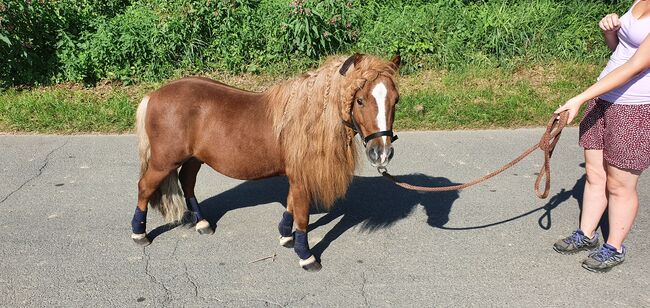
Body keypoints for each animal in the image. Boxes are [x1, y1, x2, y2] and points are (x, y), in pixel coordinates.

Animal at [130, 54, 398, 270]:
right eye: (360, 100)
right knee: (145, 187)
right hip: (164, 162)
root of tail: (153, 95)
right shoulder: (301, 177)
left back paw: (202, 223)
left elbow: (291, 205)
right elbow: (302, 214)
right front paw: (306, 255)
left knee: (187, 183)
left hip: (194, 158)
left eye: (395, 100)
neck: (307, 118)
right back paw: (139, 233)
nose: (381, 153)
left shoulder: (296, 176)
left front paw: (286, 236)